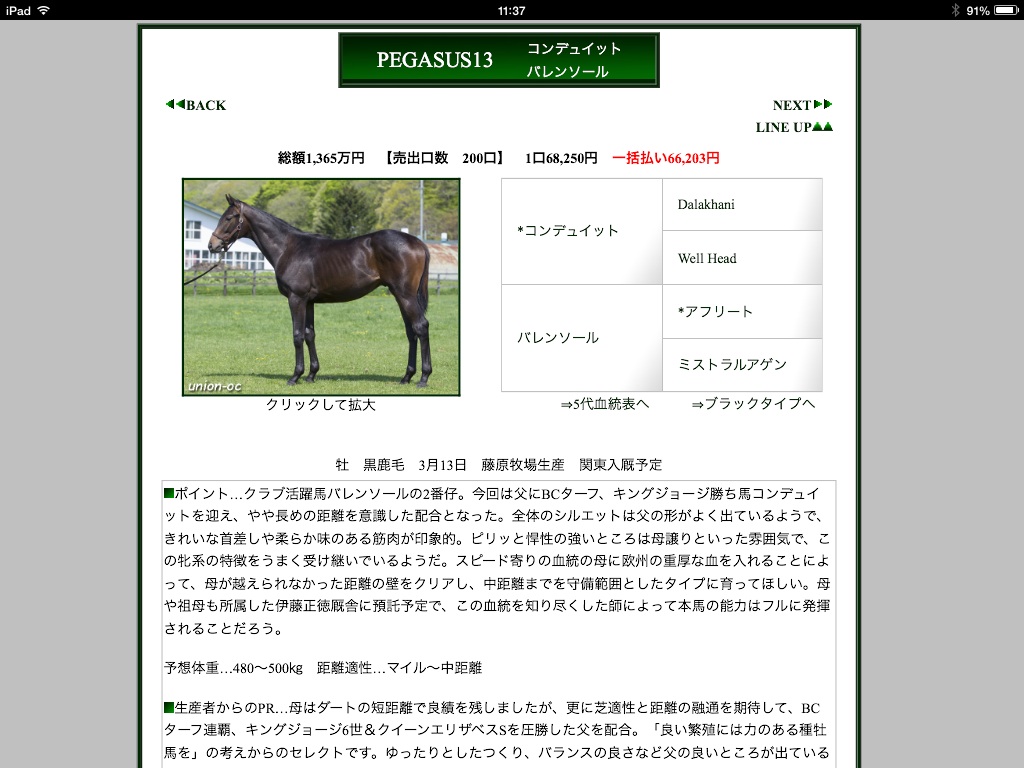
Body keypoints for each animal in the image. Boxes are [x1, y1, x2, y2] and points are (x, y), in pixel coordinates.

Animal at [208, 194, 432, 387]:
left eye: (229, 217)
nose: (212, 245)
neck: (288, 248)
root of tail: (418, 242)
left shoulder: (296, 299)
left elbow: (297, 335)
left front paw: (295, 376)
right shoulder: (309, 302)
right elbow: (310, 335)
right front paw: (311, 375)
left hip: (405, 295)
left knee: (421, 327)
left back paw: (423, 377)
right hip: (400, 296)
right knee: (411, 332)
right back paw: (406, 377)